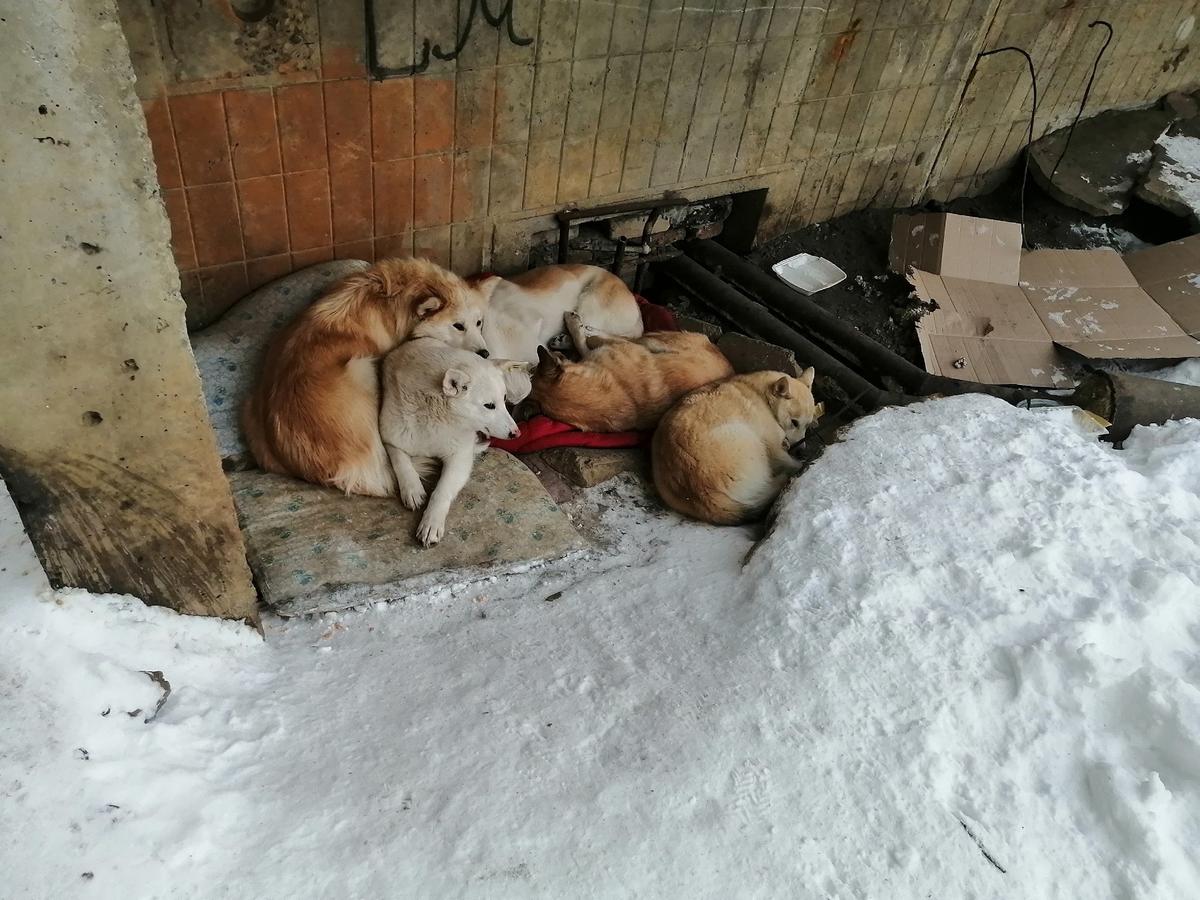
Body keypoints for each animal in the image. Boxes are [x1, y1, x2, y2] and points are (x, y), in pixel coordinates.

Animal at [379, 340, 520, 547]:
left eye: (504, 399)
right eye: (489, 405)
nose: (517, 433)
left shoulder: (459, 457)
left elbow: (441, 491)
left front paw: (431, 522)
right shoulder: (391, 437)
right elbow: (401, 462)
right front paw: (412, 488)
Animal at [532, 314, 729, 434]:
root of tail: (729, 366)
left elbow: (585, 342)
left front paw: (577, 328)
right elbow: (584, 344)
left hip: (652, 341)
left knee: (620, 337)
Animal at [648, 367, 825, 525]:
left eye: (807, 425)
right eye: (794, 422)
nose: (801, 451)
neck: (760, 394)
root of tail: (704, 496)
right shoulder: (774, 448)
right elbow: (789, 461)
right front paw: (802, 462)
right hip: (752, 441)